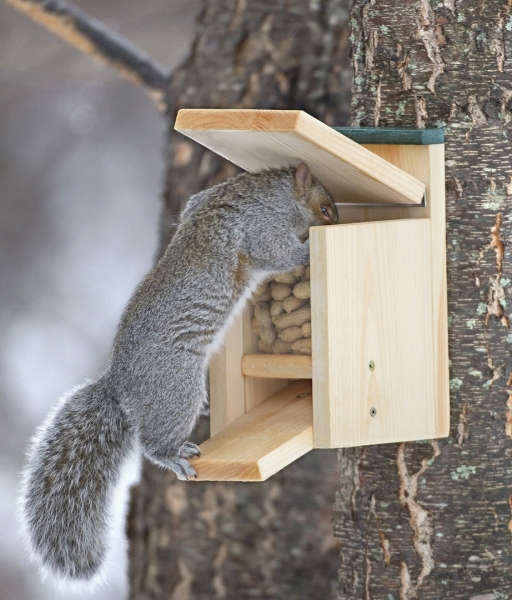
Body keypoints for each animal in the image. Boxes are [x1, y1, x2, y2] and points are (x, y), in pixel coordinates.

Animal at [20, 162, 338, 584]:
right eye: (326, 210)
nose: (340, 220)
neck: (266, 193)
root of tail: (119, 386)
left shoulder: (201, 201)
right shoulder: (261, 230)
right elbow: (279, 253)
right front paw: (307, 251)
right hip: (177, 390)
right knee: (153, 445)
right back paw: (173, 457)